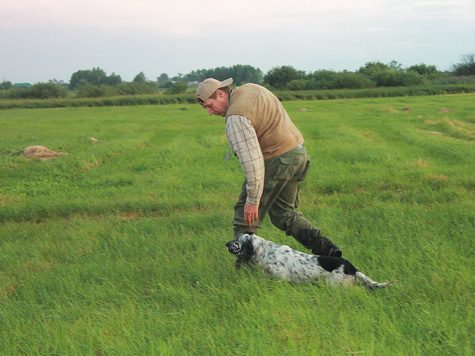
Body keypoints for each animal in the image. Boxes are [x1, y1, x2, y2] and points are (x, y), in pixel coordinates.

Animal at [227, 234, 394, 290]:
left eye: (236, 241)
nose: (226, 243)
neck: (265, 251)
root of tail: (351, 266)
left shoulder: (281, 278)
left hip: (337, 284)